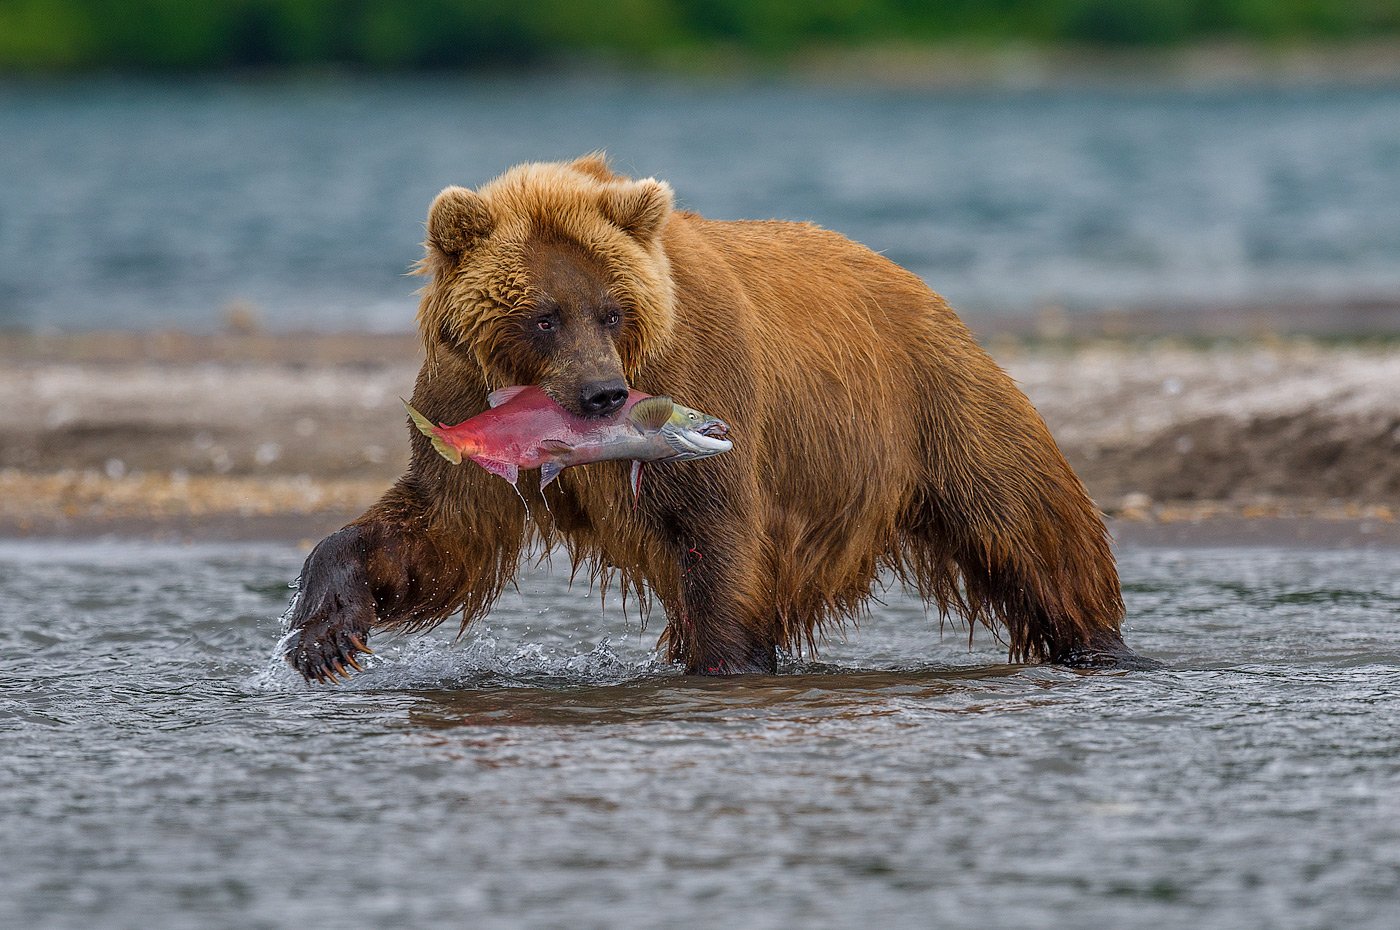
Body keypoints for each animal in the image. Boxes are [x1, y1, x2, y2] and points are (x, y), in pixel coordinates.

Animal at [281, 154, 1148, 683]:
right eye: (543, 316)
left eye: (612, 309)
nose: (603, 395)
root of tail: (913, 280)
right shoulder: (459, 397)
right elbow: (441, 529)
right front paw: (325, 632)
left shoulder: (701, 380)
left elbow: (717, 539)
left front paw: (724, 663)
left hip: (939, 402)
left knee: (1031, 524)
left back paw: (1103, 644)